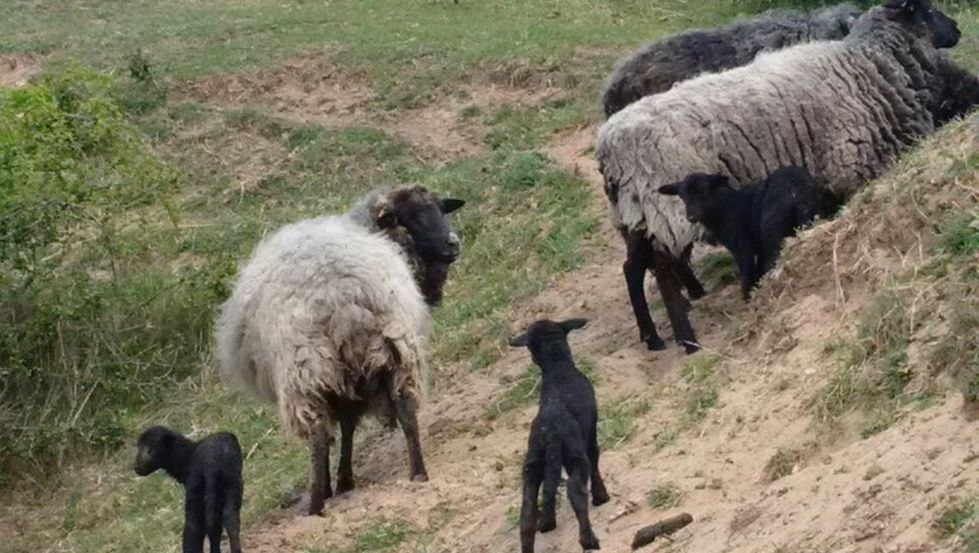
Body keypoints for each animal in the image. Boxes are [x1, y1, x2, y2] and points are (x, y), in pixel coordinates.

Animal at [217, 185, 468, 512]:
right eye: (409, 217)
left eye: (440, 208)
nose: (452, 244)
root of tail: (340, 296)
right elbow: (349, 427)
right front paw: (344, 481)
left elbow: (340, 431)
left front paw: (336, 483)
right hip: (394, 348)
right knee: (406, 412)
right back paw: (418, 474)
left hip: (304, 370)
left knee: (319, 437)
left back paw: (315, 504)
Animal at [510, 320, 608, 552]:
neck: (557, 368)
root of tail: (550, 433)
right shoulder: (590, 436)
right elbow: (596, 460)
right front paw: (601, 497)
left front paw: (547, 521)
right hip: (576, 458)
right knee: (575, 491)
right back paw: (588, 539)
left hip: (533, 465)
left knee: (527, 512)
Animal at [660, 165, 836, 300]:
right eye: (682, 196)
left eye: (705, 191)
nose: (691, 216)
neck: (726, 207)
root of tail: (797, 188)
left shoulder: (740, 243)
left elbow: (746, 266)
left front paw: (747, 295)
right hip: (811, 212)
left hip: (772, 224)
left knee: (775, 251)